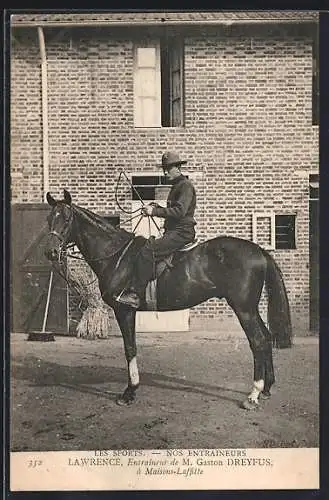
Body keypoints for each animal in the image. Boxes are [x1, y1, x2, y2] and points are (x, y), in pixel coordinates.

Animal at [44, 189, 290, 412]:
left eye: (66, 219)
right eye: (49, 219)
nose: (51, 252)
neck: (116, 256)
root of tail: (259, 251)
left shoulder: (125, 310)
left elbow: (130, 348)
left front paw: (130, 392)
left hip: (243, 308)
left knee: (258, 341)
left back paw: (253, 395)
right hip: (250, 309)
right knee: (266, 337)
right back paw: (267, 388)